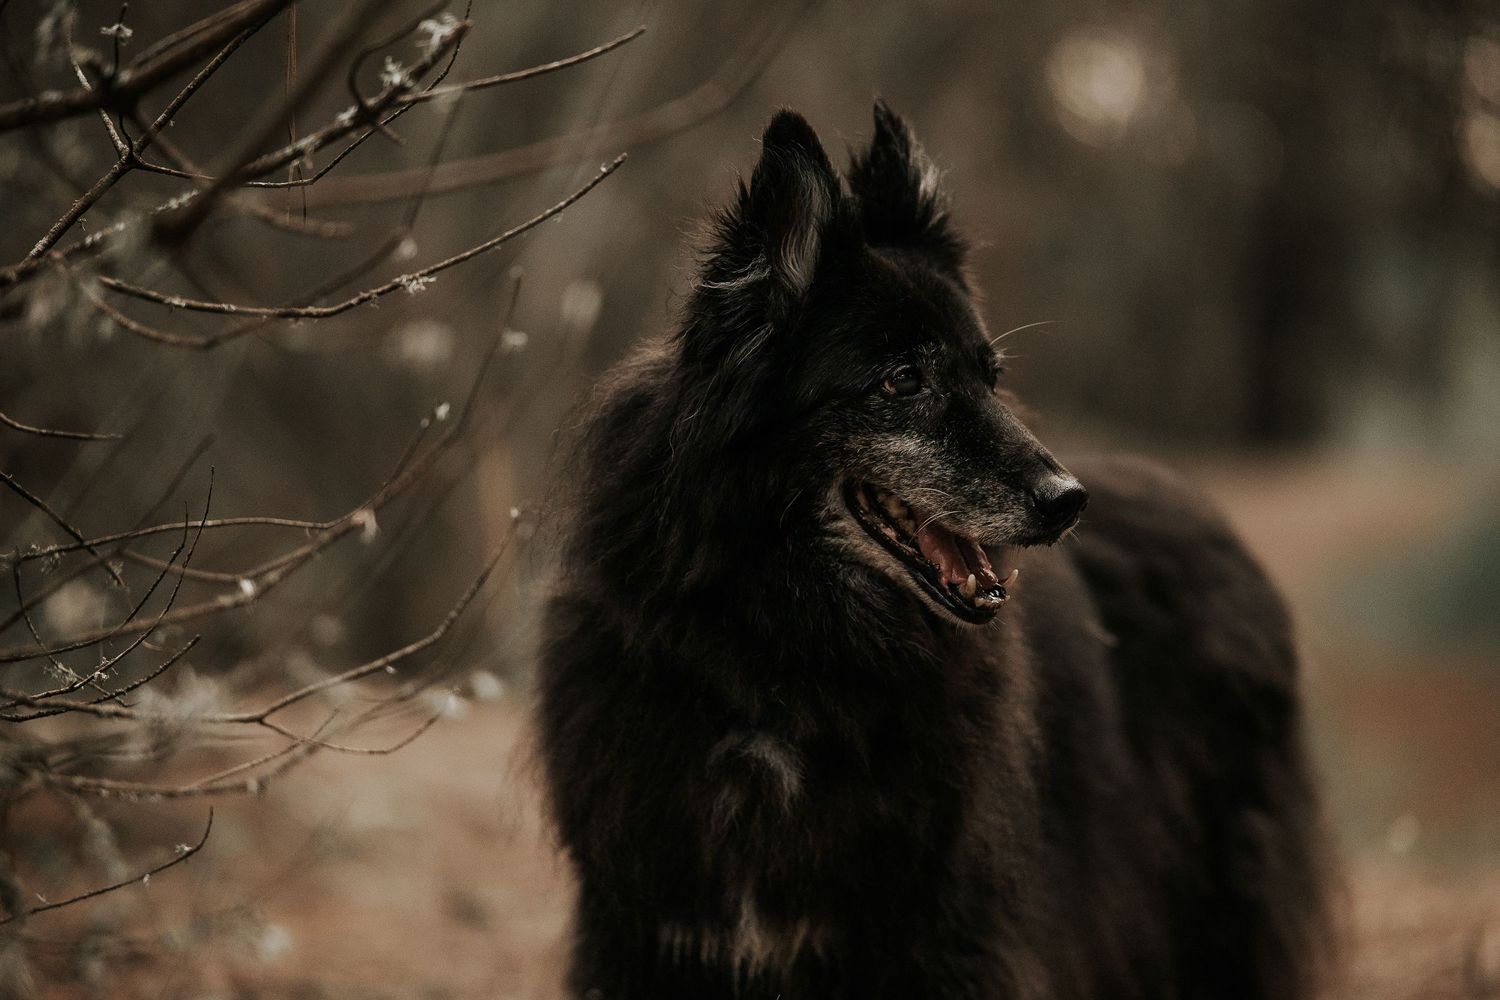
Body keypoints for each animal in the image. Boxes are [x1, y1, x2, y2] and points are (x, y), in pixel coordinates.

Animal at [536, 101, 1331, 999]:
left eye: (991, 375)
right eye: (901, 380)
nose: (1069, 502)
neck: (787, 655)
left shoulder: (940, 942)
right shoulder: (653, 938)